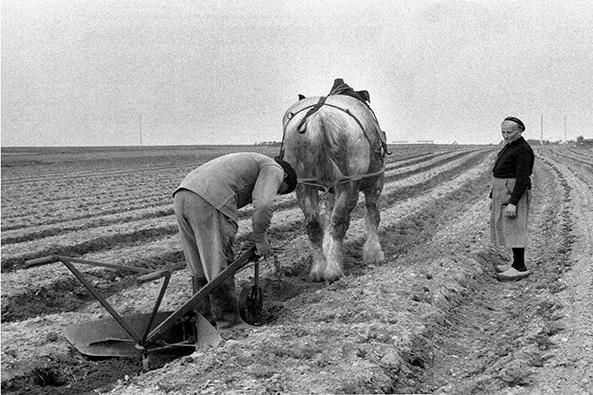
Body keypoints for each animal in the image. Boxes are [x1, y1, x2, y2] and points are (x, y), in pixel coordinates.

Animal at [278, 88, 386, 284]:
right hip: (349, 183)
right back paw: (334, 270)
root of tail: (318, 117)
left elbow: (326, 217)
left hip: (304, 184)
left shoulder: (330, 190)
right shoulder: (375, 183)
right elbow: (373, 215)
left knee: (313, 224)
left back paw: (319, 268)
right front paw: (374, 253)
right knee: (339, 221)